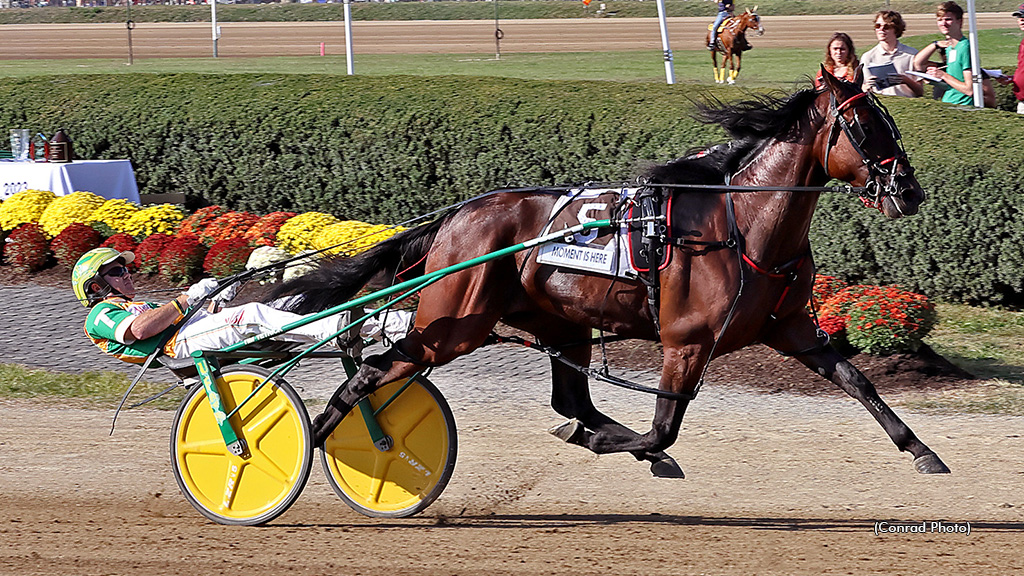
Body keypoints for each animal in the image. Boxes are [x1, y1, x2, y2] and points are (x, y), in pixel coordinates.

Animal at [274, 68, 950, 479]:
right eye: (866, 127)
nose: (911, 191)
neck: (742, 224)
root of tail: (458, 216)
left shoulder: (790, 330)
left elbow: (859, 383)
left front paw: (923, 451)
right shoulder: (687, 342)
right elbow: (663, 430)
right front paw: (615, 446)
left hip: (556, 322)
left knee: (570, 396)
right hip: (453, 323)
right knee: (372, 373)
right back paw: (317, 442)